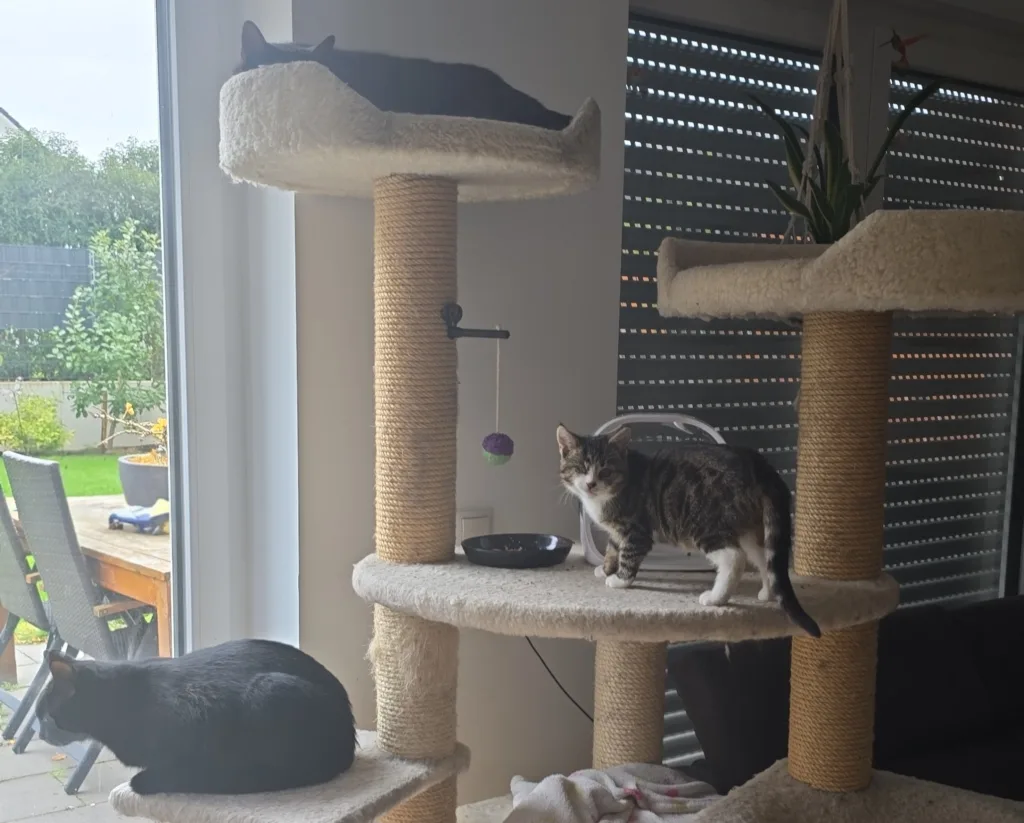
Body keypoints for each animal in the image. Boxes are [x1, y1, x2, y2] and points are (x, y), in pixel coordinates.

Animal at [557, 424, 821, 638]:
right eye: (580, 469)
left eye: (605, 471)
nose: (591, 484)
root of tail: (757, 463)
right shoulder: (617, 531)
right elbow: (613, 548)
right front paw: (605, 569)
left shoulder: (636, 530)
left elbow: (628, 554)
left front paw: (620, 580)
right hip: (744, 525)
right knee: (762, 555)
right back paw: (767, 592)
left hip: (706, 523)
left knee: (734, 557)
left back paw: (716, 598)